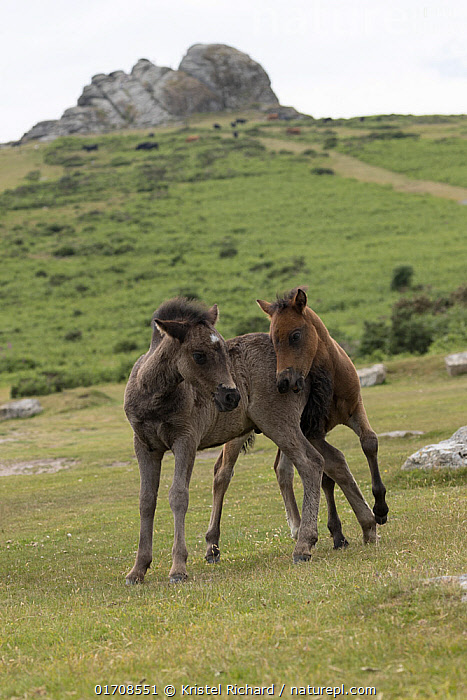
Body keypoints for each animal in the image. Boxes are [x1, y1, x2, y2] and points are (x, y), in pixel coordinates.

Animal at [124, 298, 377, 583]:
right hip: (304, 428)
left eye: (225, 351)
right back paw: (368, 525)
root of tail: (305, 370)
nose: (231, 396)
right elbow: (146, 501)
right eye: (198, 355)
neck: (154, 396)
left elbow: (178, 495)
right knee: (335, 460)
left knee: (311, 463)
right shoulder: (144, 446)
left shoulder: (185, 441)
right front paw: (138, 569)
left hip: (278, 423)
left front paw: (178, 568)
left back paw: (305, 544)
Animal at [256, 287, 389, 532]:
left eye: (295, 335)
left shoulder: (355, 407)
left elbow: (369, 442)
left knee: (282, 468)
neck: (331, 377)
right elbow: (328, 475)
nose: (283, 383)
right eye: (272, 340)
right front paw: (336, 531)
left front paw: (381, 508)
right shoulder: (313, 430)